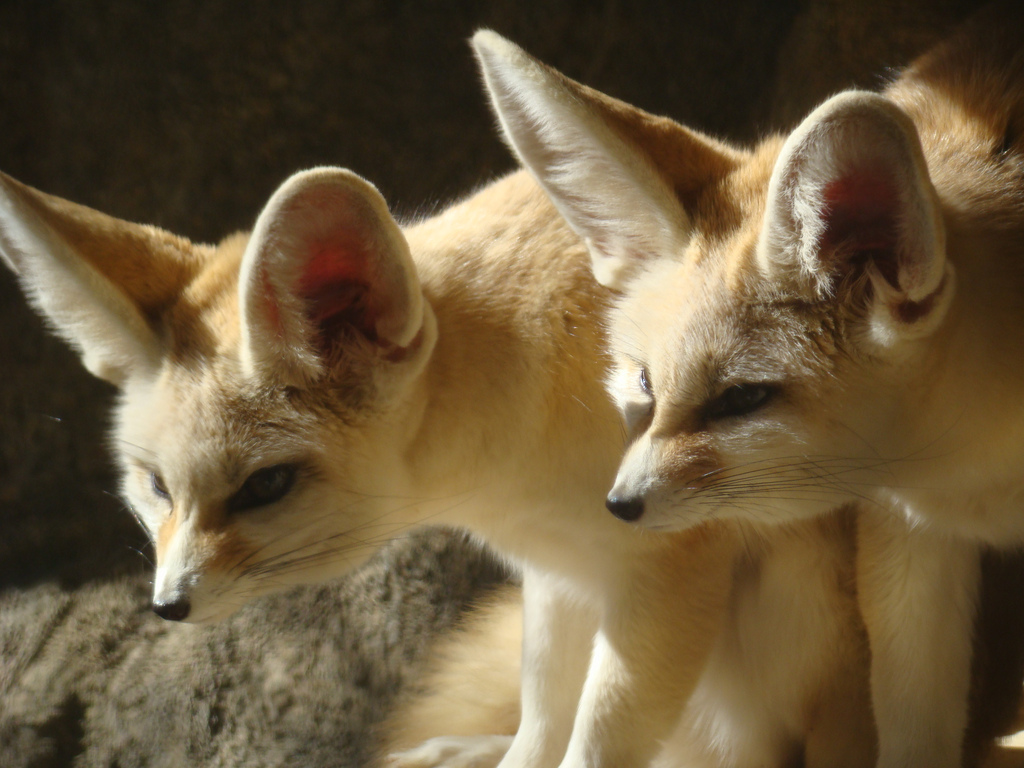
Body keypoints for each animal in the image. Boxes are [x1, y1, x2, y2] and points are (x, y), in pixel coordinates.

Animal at [380, 27, 1024, 768]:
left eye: (742, 399)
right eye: (644, 385)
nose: (618, 506)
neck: (984, 469)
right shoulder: (910, 533)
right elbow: (915, 721)